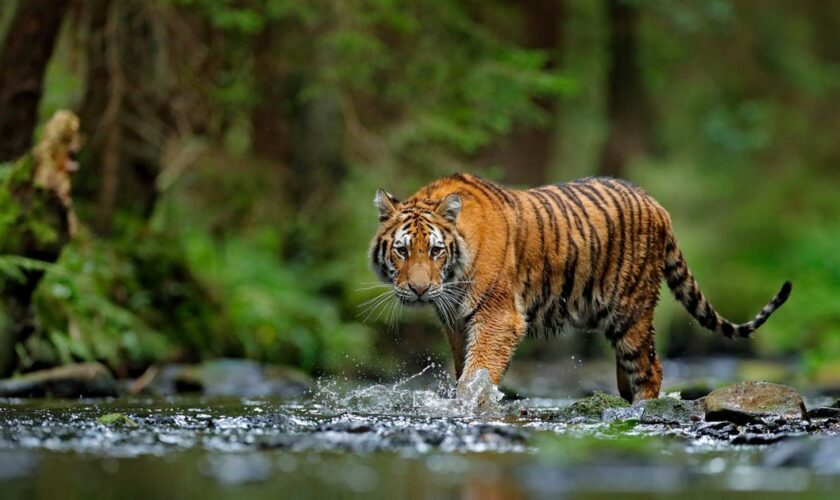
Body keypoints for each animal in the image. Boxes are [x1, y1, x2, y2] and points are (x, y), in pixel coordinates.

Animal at [366, 173, 788, 402]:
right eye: (402, 251)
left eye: (436, 251)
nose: (419, 290)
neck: (452, 278)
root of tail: (656, 204)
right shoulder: (456, 322)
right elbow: (463, 369)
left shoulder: (498, 316)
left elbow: (477, 372)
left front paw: (469, 405)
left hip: (631, 311)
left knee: (650, 369)